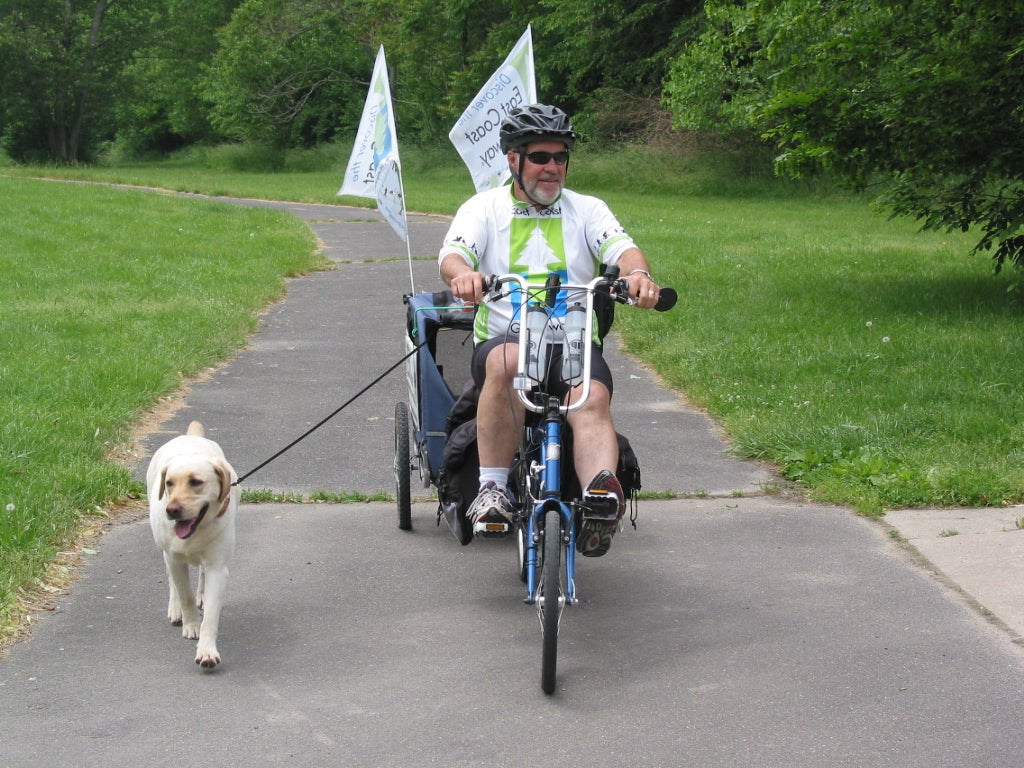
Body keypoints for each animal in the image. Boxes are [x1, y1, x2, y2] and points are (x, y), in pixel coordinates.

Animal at [147, 421, 238, 667]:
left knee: (201, 576)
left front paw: (207, 651)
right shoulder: (174, 559)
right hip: (163, 549)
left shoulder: (217, 567)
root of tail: (191, 436)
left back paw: (201, 596)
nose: (171, 510)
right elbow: (184, 593)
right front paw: (191, 625)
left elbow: (211, 616)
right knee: (172, 580)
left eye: (196, 482)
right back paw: (175, 608)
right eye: (169, 483)